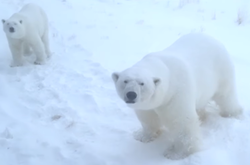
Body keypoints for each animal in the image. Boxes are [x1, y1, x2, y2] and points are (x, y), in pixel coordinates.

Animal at [111, 32, 242, 160]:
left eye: (142, 83)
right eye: (125, 81)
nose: (131, 94)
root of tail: (211, 37)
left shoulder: (176, 93)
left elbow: (182, 122)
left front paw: (175, 153)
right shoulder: (147, 104)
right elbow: (147, 117)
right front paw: (142, 136)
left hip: (221, 71)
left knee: (226, 95)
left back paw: (233, 113)